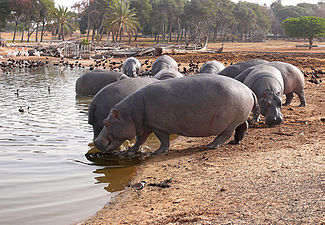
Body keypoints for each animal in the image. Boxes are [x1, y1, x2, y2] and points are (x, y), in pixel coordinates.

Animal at [93, 74, 258, 155]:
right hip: (239, 118)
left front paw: (157, 152)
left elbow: (163, 140)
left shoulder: (158, 126)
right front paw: (130, 151)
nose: (95, 141)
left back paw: (211, 145)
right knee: (243, 126)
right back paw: (235, 142)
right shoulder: (145, 127)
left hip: (229, 123)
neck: (131, 113)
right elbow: (140, 140)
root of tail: (249, 90)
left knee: (225, 134)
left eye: (107, 123)